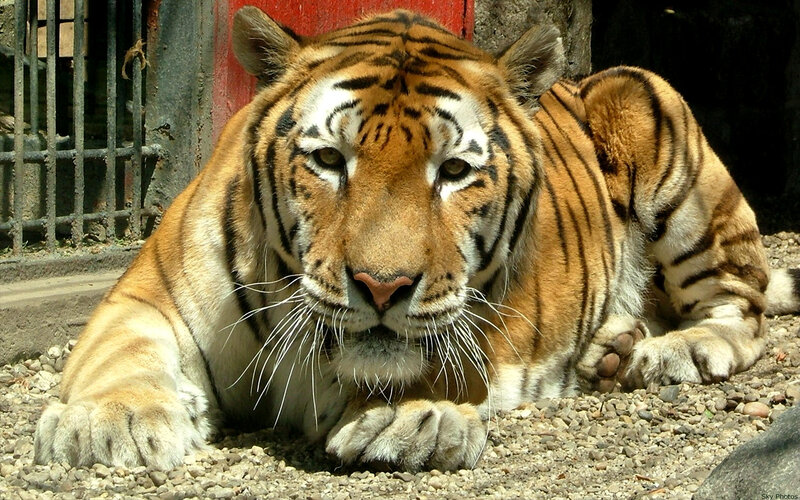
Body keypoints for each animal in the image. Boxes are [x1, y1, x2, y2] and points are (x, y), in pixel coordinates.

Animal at [34, 6, 800, 472]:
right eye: (330, 161)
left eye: (454, 172)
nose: (382, 287)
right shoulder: (145, 298)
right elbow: (124, 356)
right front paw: (112, 423)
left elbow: (411, 366)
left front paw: (409, 419)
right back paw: (611, 350)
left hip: (647, 103)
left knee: (747, 306)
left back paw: (669, 353)